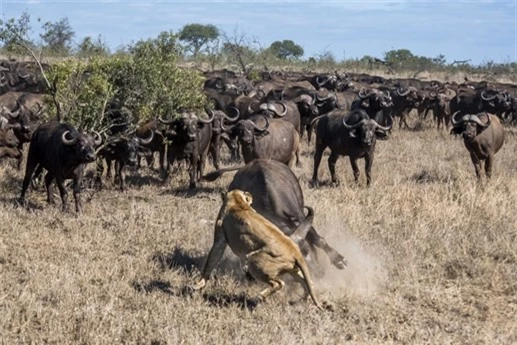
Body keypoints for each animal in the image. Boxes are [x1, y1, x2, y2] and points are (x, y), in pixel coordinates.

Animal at [191, 188, 324, 310]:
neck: (238, 201)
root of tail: (295, 251)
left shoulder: (220, 238)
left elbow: (211, 261)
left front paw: (199, 284)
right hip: (293, 270)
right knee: (308, 283)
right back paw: (301, 300)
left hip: (255, 261)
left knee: (279, 283)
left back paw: (259, 296)